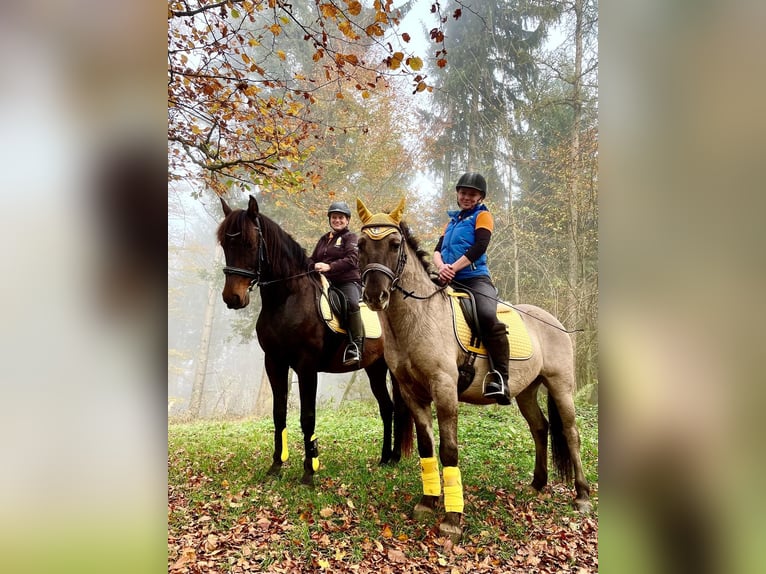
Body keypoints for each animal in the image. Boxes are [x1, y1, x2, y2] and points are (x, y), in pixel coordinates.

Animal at [219, 197, 414, 486]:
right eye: (224, 244)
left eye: (249, 243)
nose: (232, 298)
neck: (286, 299)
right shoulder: (274, 363)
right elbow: (279, 414)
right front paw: (276, 467)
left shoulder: (306, 366)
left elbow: (307, 416)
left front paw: (309, 472)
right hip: (374, 368)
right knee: (387, 407)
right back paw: (385, 458)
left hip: (389, 367)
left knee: (398, 408)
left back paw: (395, 458)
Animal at [356, 199, 592, 544]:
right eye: (360, 245)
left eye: (394, 244)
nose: (376, 296)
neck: (420, 318)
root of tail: (555, 322)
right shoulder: (412, 393)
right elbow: (427, 447)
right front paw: (428, 502)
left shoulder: (444, 390)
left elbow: (449, 450)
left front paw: (452, 519)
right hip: (526, 390)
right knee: (540, 428)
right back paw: (537, 484)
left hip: (560, 386)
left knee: (572, 433)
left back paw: (582, 495)